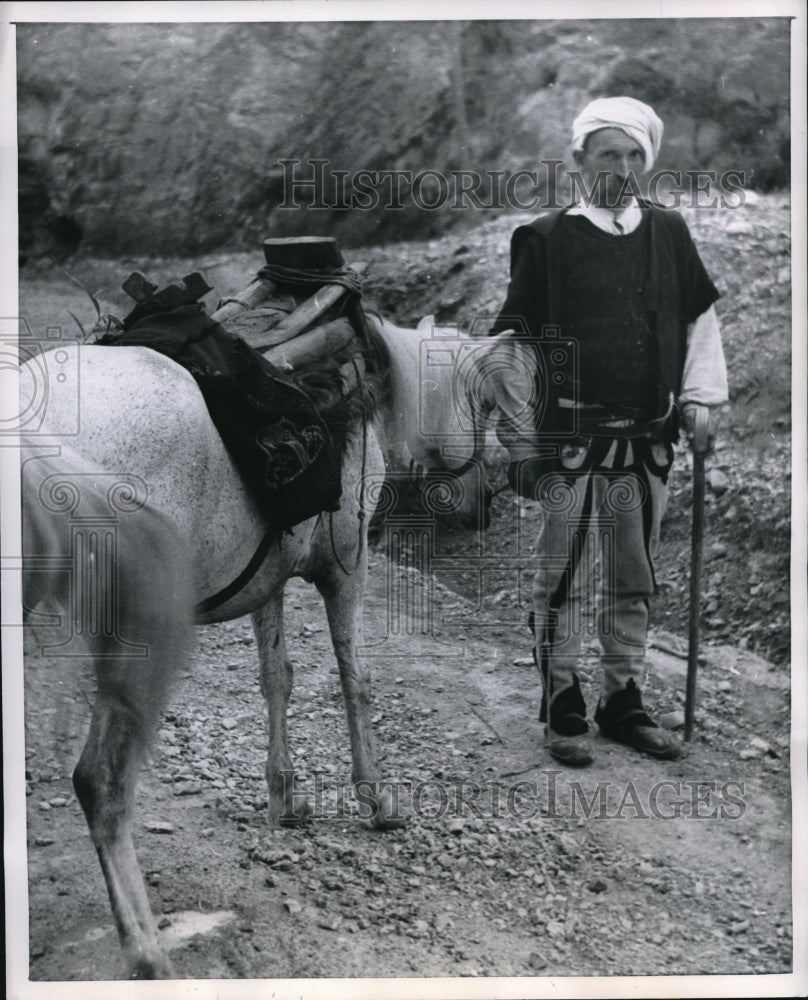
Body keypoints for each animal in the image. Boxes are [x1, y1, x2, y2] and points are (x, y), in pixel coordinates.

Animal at [19, 310, 490, 976]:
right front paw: (375, 798)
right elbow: (355, 680)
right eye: (483, 403)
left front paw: (284, 793)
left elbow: (277, 678)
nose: (488, 505)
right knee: (100, 781)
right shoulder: (347, 568)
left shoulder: (267, 577)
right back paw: (146, 949)